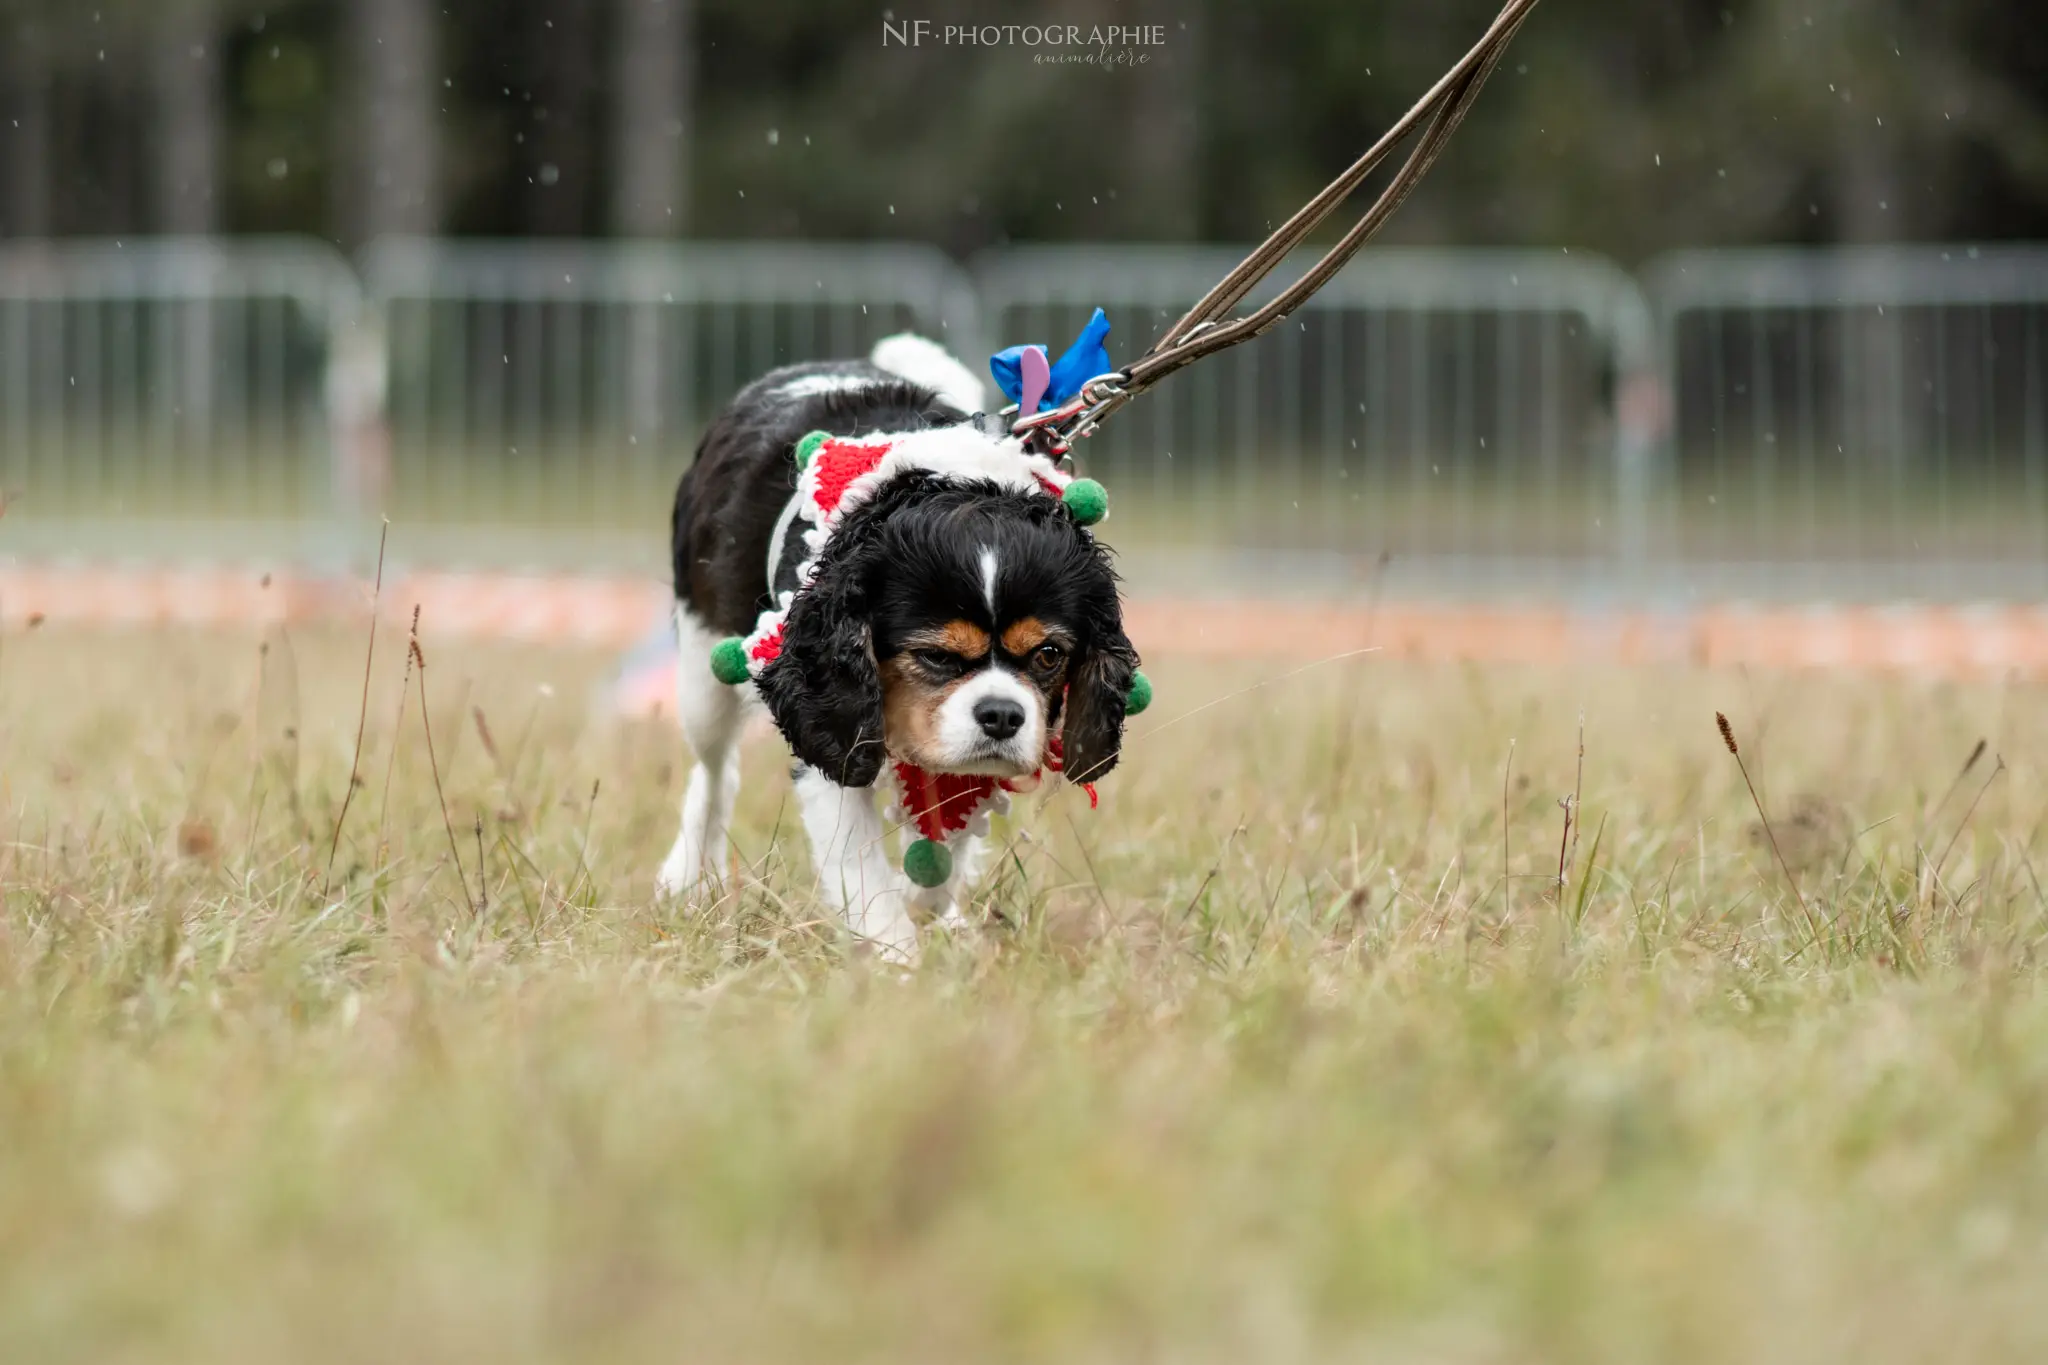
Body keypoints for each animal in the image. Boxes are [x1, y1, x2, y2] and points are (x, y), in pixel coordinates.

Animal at [655, 331, 1138, 961]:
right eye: (933, 655)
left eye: (1048, 655)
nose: (1003, 715)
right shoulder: (829, 726)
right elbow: (859, 868)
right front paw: (896, 961)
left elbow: (943, 853)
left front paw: (933, 911)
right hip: (703, 673)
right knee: (714, 772)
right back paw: (689, 876)